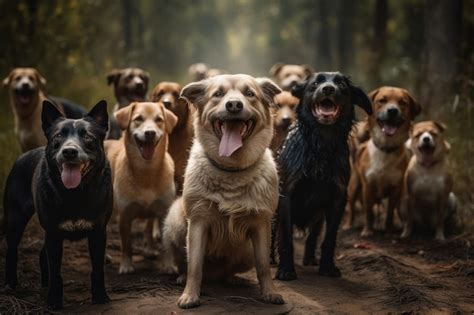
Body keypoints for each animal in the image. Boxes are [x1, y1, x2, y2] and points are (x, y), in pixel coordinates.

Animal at [3, 100, 112, 310]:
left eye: (87, 136)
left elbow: (98, 270)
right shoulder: (53, 233)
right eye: (58, 136)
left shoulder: (98, 233)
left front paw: (100, 297)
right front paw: (54, 301)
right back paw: (11, 285)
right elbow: (56, 273)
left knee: (40, 254)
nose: (69, 151)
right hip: (15, 219)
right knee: (11, 251)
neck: (75, 193)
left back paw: (43, 284)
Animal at [104, 102, 177, 276]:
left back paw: (149, 249)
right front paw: (126, 265)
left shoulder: (163, 212)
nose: (150, 133)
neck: (146, 172)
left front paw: (168, 265)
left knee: (149, 226)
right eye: (138, 119)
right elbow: (126, 245)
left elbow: (165, 243)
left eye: (159, 120)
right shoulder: (124, 216)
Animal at [161, 74, 284, 308]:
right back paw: (183, 276)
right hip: (176, 221)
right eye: (217, 94)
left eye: (249, 94)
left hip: (246, 251)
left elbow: (264, 265)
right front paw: (190, 294)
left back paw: (232, 279)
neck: (231, 170)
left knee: (228, 271)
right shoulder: (197, 222)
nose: (234, 105)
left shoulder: (261, 224)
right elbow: (195, 265)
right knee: (188, 264)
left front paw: (270, 292)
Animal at [276, 72, 372, 282]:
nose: (328, 89)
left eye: (341, 84)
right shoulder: (286, 194)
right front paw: (285, 269)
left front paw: (327, 267)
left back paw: (310, 258)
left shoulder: (338, 197)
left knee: (313, 235)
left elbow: (329, 238)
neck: (322, 144)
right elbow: (285, 237)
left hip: (318, 216)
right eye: (315, 83)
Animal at [356, 86, 422, 237]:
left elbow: (390, 214)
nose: (392, 111)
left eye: (402, 103)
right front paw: (367, 230)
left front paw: (389, 231)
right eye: (382, 100)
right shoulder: (368, 187)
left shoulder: (395, 188)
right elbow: (368, 212)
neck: (385, 149)